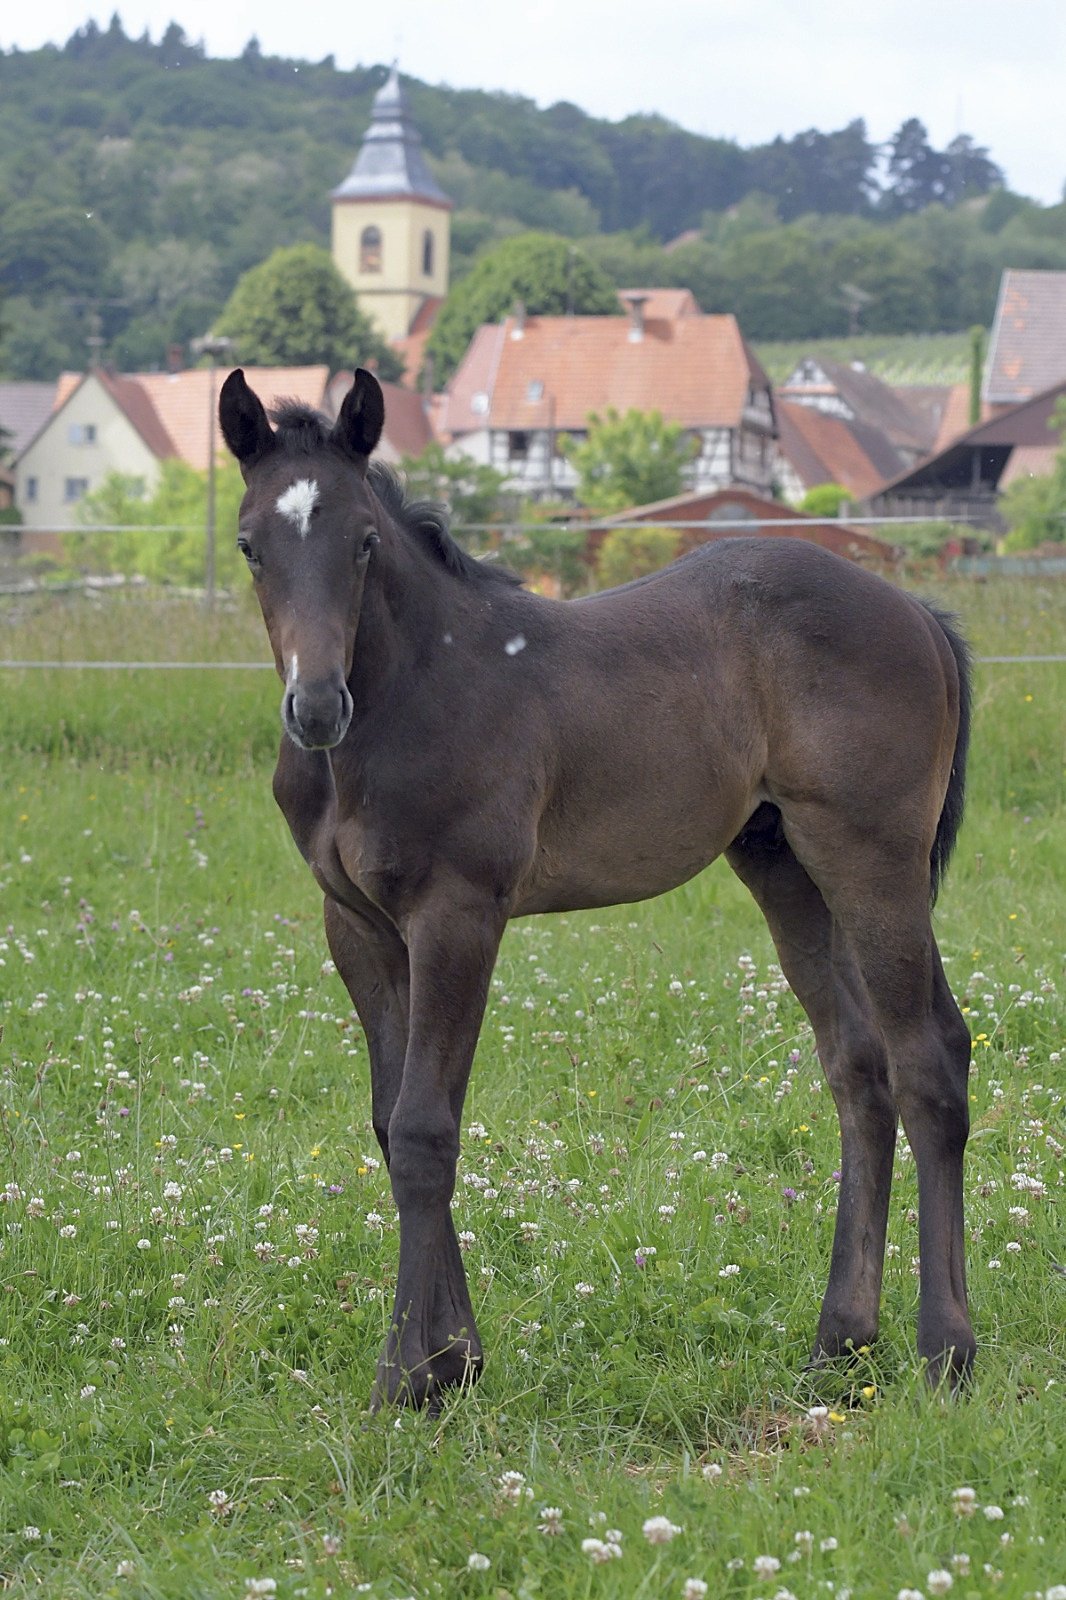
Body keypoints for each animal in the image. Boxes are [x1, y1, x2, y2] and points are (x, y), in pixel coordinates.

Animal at [219, 366, 975, 1410]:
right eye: (251, 545)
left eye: (364, 540)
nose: (318, 706)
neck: (412, 693)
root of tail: (918, 616)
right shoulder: (361, 927)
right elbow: (389, 1121)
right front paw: (455, 1365)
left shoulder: (459, 913)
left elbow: (424, 1132)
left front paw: (404, 1381)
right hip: (786, 867)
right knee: (859, 1071)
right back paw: (840, 1342)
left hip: (872, 858)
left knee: (928, 1060)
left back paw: (946, 1351)